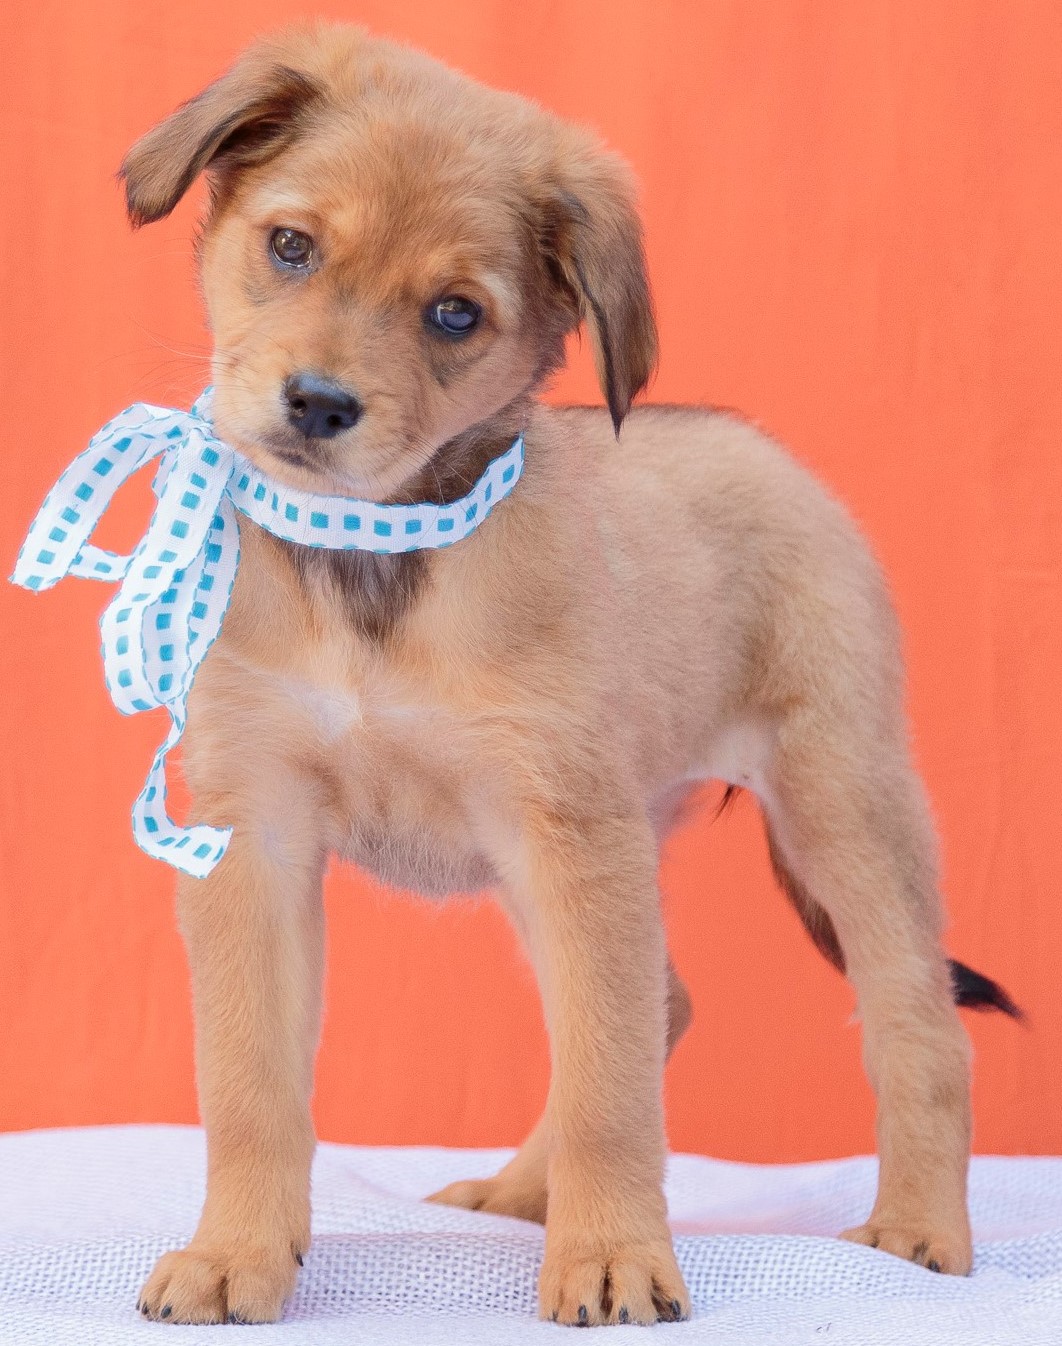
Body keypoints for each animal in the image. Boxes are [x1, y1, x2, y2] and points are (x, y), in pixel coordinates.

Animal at [117, 21, 1017, 1324]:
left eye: (455, 313)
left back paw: (919, 1230)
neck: (378, 566)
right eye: (289, 245)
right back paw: (515, 1190)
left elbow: (610, 1091)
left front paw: (612, 1254)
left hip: (838, 810)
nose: (319, 403)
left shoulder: (569, 833)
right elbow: (248, 1082)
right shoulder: (258, 835)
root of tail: (767, 449)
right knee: (661, 1004)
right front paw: (235, 1251)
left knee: (914, 1027)